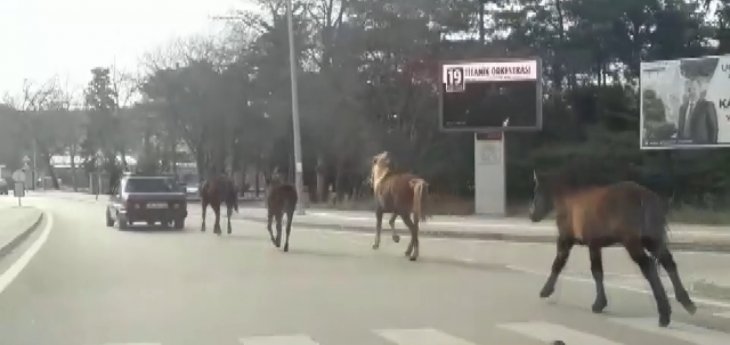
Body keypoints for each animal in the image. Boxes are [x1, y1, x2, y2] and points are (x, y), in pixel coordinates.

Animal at [528, 168, 692, 326]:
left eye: (538, 191)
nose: (532, 215)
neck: (569, 199)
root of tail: (643, 196)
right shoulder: (595, 245)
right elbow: (598, 272)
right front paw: (600, 303)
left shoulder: (566, 240)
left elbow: (559, 264)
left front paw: (546, 291)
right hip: (652, 241)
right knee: (668, 263)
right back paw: (686, 302)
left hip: (632, 243)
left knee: (649, 267)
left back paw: (664, 314)